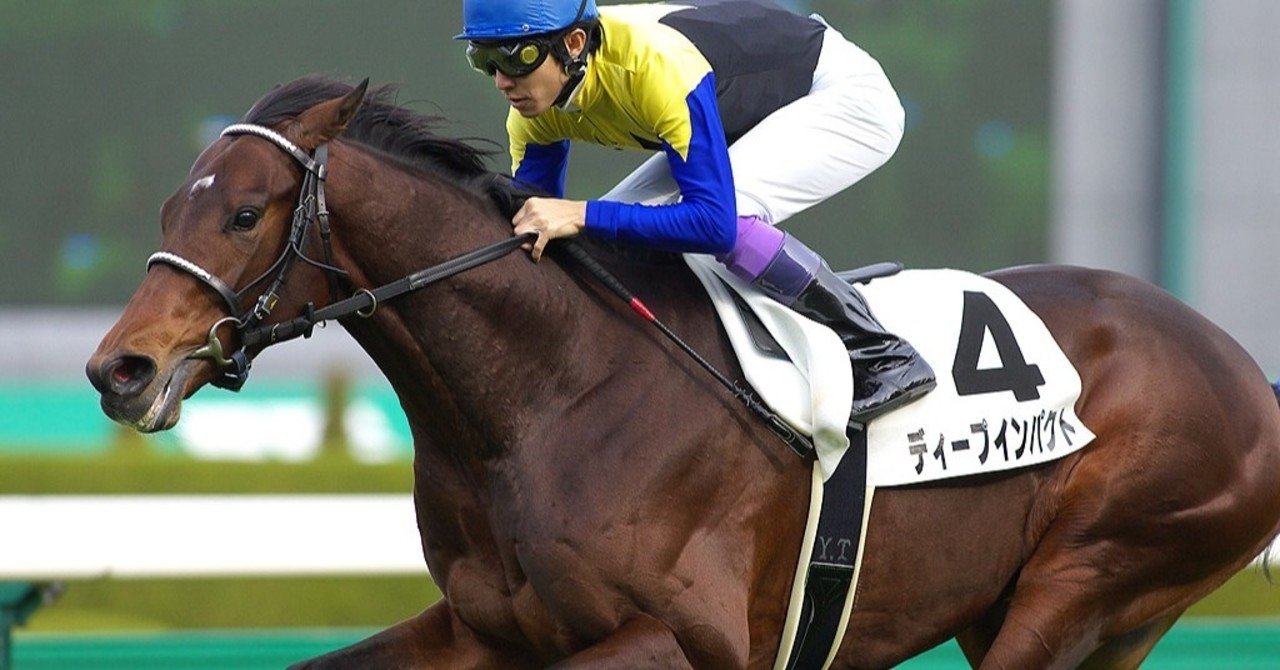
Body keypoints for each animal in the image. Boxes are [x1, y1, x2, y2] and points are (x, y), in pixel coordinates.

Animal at [87, 77, 1280, 669]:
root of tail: (1241, 368)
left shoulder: (687, 638)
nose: (118, 368)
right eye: (171, 207)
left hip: (1095, 567)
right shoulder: (483, 632)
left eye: (246, 213)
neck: (543, 398)